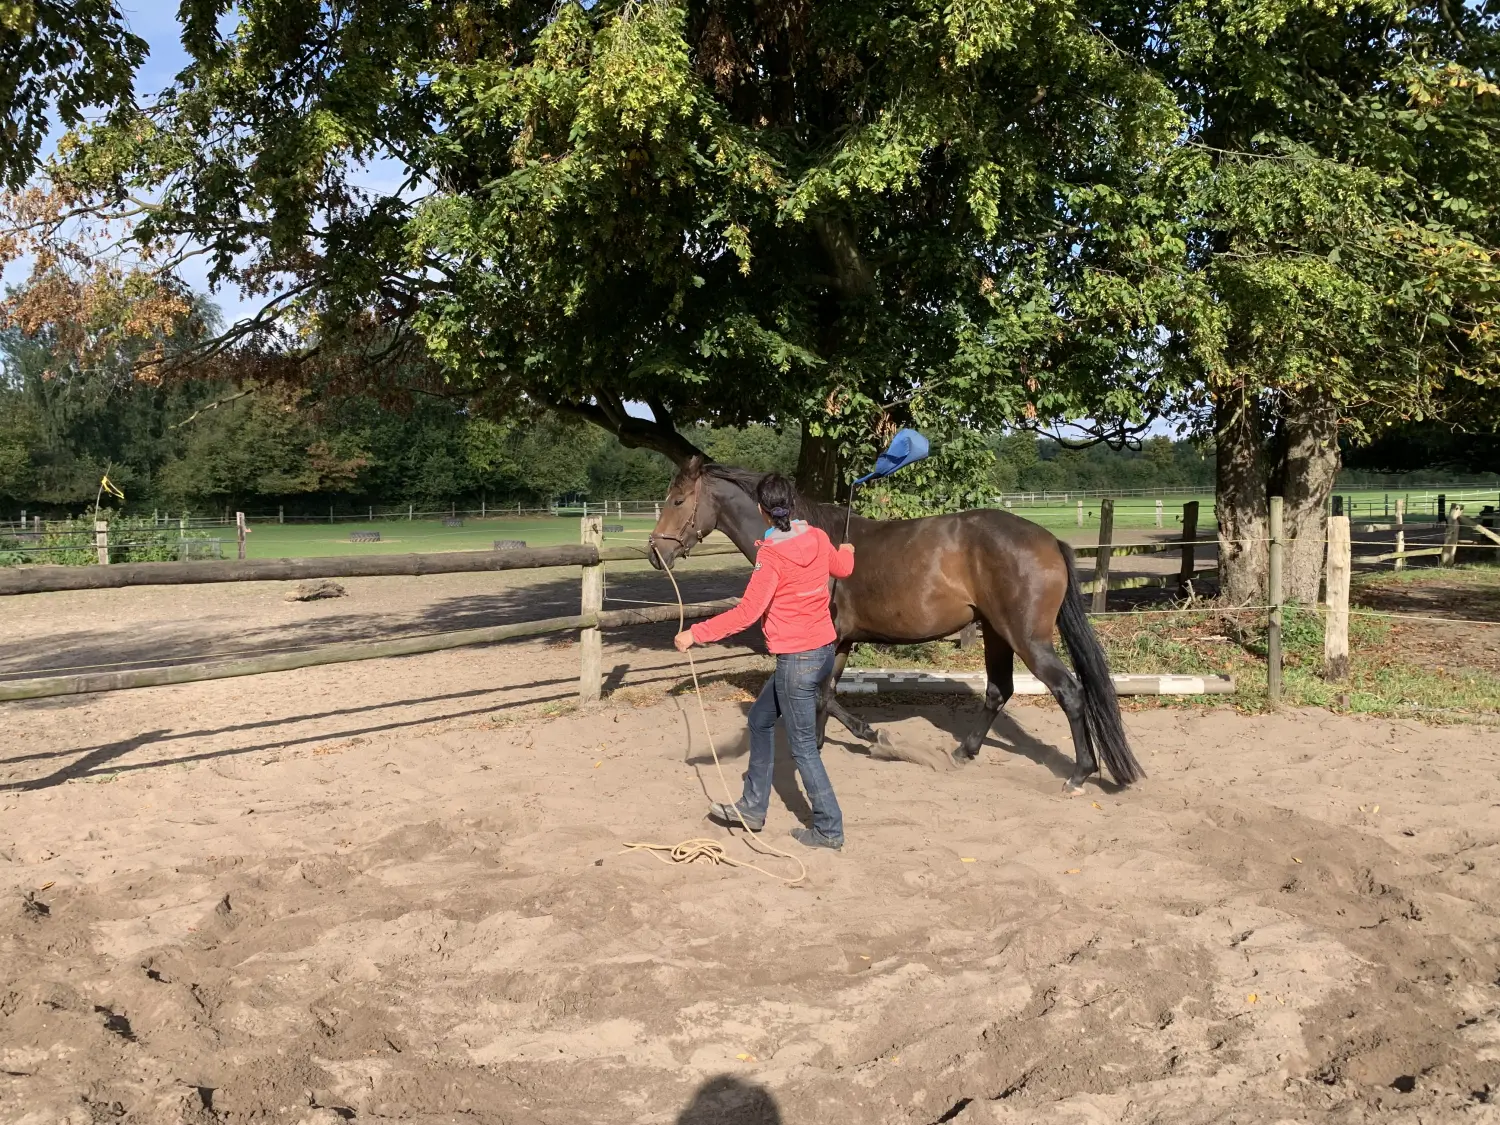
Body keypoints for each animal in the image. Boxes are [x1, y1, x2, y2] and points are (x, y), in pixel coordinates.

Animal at [648, 459, 1146, 792]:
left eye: (676, 500)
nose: (655, 552)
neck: (804, 540)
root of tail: (1047, 539)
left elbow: (822, 698)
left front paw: (873, 736)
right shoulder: (839, 644)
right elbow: (825, 696)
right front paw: (822, 746)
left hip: (1027, 638)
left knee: (1070, 692)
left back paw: (1080, 773)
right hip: (996, 633)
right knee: (997, 691)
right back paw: (963, 752)